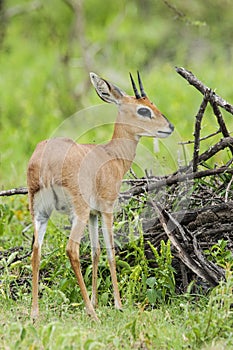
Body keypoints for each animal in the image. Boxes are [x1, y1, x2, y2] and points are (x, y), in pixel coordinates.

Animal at [26, 71, 173, 320]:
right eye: (144, 110)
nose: (169, 127)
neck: (111, 155)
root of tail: (46, 160)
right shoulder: (107, 208)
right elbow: (111, 252)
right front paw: (118, 304)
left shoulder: (94, 214)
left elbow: (95, 252)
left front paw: (96, 300)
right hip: (78, 212)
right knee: (71, 249)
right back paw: (91, 313)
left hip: (40, 211)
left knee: (36, 251)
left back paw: (35, 313)